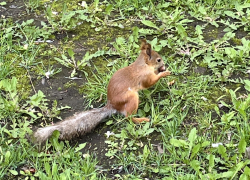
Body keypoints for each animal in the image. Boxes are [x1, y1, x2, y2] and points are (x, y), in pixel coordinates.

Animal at [32, 40, 171, 145]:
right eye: (158, 60)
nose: (164, 64)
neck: (143, 65)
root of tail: (112, 106)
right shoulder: (145, 77)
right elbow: (149, 83)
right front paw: (164, 73)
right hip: (132, 98)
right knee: (128, 117)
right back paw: (141, 119)